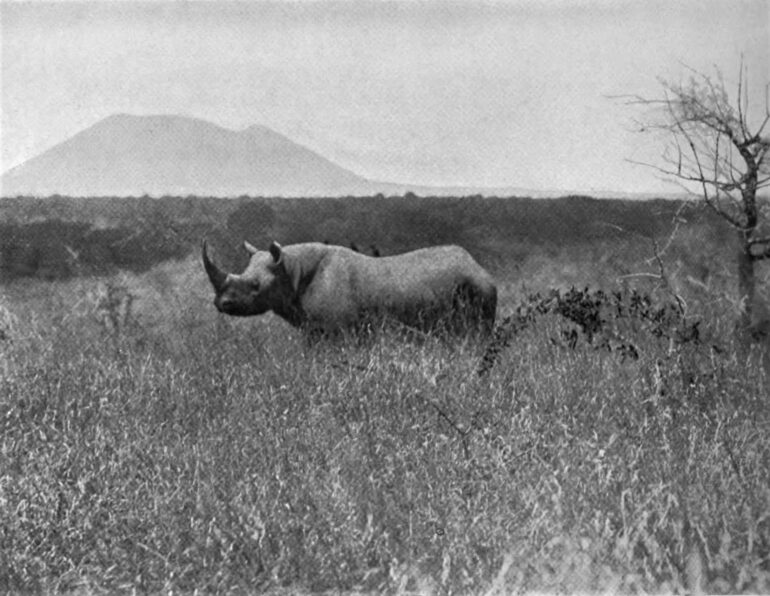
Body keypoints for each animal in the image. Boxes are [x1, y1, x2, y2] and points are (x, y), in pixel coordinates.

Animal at [202, 240, 497, 335]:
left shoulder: (337, 330)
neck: (291, 269)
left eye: (255, 285)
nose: (221, 303)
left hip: (477, 289)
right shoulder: (315, 330)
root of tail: (479, 266)